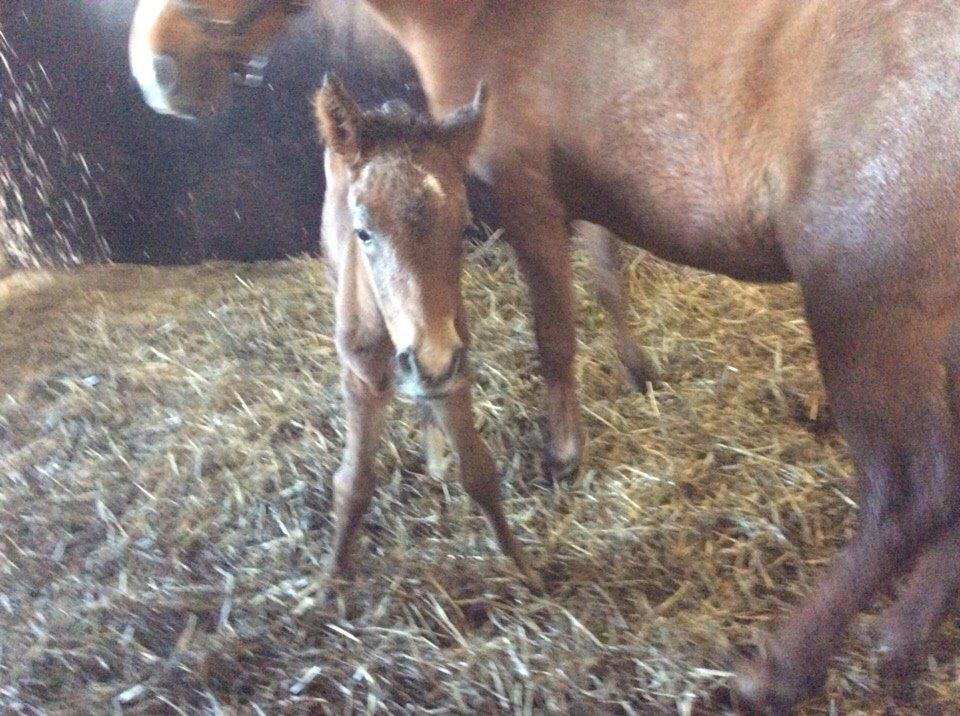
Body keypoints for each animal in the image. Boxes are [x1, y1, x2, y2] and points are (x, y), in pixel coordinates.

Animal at [316, 72, 540, 588]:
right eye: (363, 233)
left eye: (463, 227)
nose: (429, 358)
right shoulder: (360, 378)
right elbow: (353, 482)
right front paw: (332, 579)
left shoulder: (456, 367)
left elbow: (479, 470)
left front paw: (524, 568)